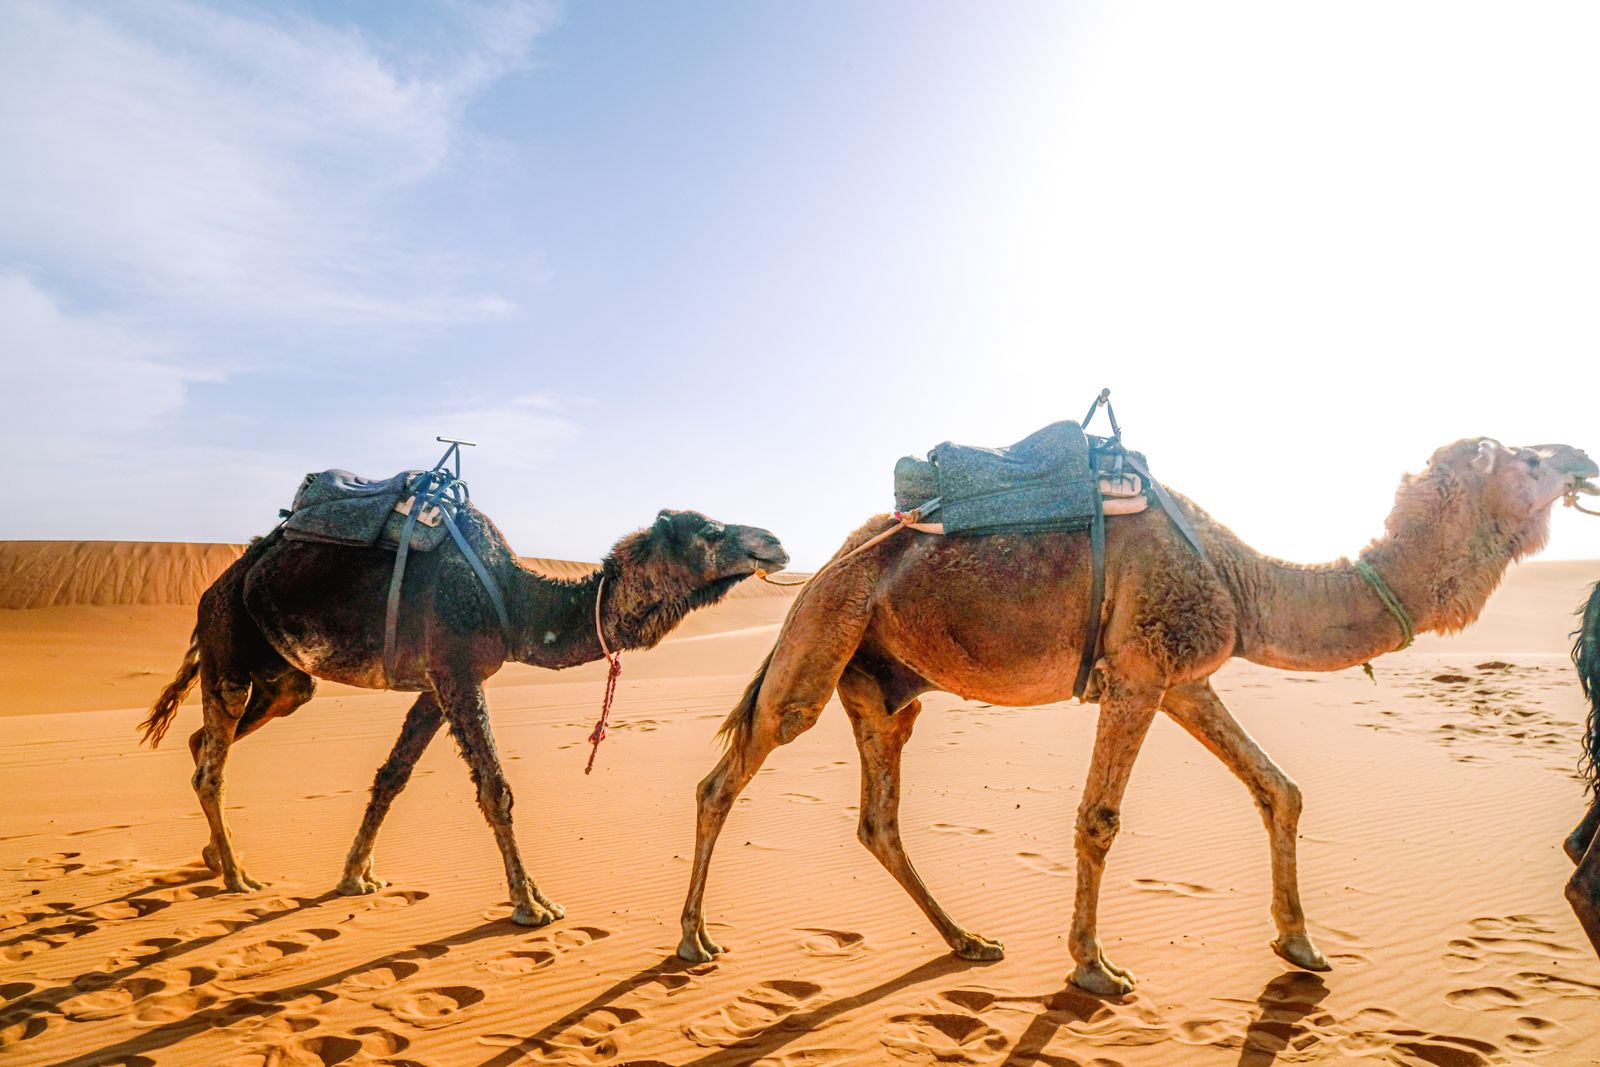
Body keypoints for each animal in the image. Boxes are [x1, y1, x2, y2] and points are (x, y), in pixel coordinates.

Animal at [141, 506, 787, 925]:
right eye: (711, 530)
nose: (775, 542)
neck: (519, 603)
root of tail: (215, 587)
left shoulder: (436, 685)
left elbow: (392, 776)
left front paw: (355, 875)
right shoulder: (456, 670)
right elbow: (495, 788)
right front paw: (531, 903)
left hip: (282, 676)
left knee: (211, 736)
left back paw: (216, 856)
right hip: (228, 641)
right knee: (212, 761)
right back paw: (237, 876)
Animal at [677, 437, 1597, 995]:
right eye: (1521, 455)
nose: (1579, 452)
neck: (1244, 579)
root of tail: (833, 559)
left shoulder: (1183, 678)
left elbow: (1280, 788)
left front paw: (1301, 946)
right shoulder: (1136, 676)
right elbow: (1098, 818)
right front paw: (1093, 967)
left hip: (882, 684)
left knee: (879, 819)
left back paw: (968, 941)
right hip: (821, 640)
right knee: (726, 775)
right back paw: (692, 942)